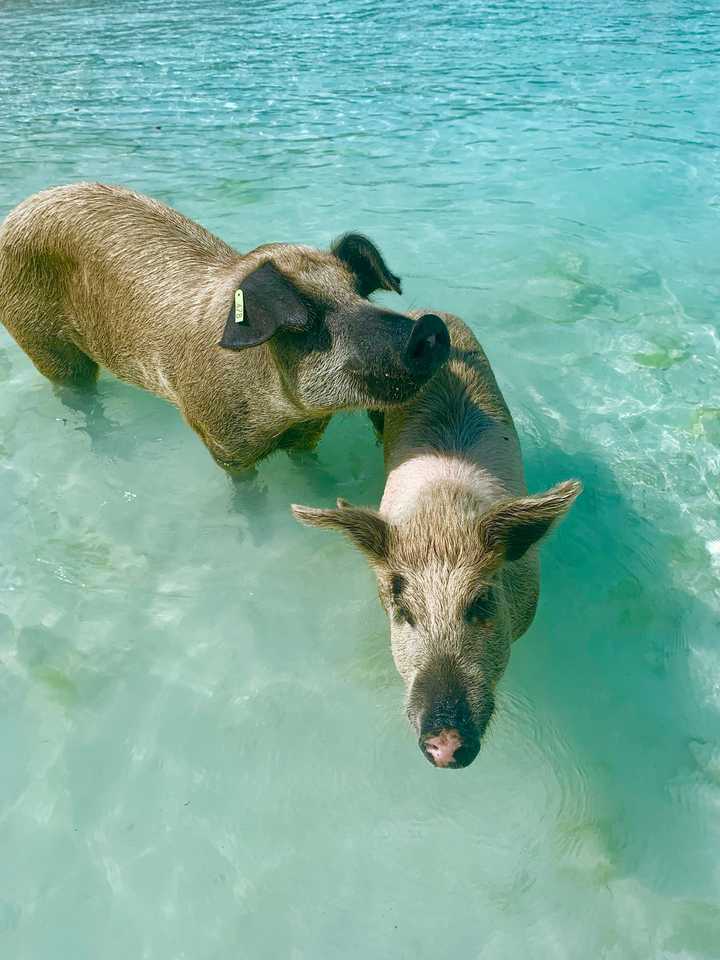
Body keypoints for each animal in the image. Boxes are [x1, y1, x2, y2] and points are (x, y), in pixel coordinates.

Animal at [0, 181, 450, 472]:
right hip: (38, 335)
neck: (283, 417)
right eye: (306, 319)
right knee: (74, 389)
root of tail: (14, 214)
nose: (428, 326)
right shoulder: (219, 438)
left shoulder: (308, 432)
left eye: (360, 292)